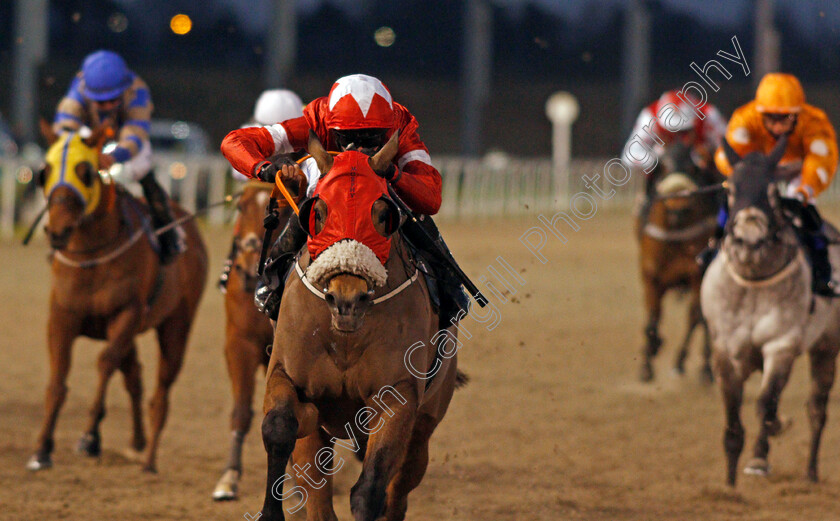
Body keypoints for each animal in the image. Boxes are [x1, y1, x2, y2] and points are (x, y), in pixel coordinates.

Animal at [27, 126, 208, 472]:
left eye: (85, 172)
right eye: (45, 170)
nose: (57, 230)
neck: (92, 258)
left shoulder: (126, 314)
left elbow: (105, 362)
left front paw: (88, 437)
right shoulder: (61, 317)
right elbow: (57, 380)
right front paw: (42, 448)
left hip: (176, 326)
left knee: (160, 391)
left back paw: (149, 459)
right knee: (134, 375)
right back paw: (137, 441)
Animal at [260, 131, 462, 520]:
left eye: (382, 214)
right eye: (319, 212)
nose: (346, 299)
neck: (345, 339)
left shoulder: (397, 397)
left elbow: (369, 491)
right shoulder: (287, 374)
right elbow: (280, 428)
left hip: (426, 422)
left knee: (399, 488)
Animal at [636, 142, 720, 382]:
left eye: (693, 168)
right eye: (663, 167)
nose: (678, 209)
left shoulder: (697, 275)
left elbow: (696, 316)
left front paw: (699, 367)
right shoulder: (651, 276)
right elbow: (652, 317)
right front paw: (647, 360)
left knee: (701, 319)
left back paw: (695, 365)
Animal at [700, 134, 840, 484]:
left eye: (772, 191)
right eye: (731, 188)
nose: (750, 239)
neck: (752, 281)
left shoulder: (781, 345)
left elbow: (766, 404)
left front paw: (759, 459)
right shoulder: (724, 348)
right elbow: (732, 414)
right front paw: (729, 483)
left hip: (827, 347)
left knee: (817, 409)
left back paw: (811, 472)